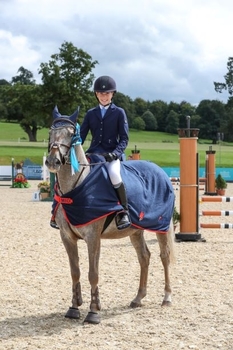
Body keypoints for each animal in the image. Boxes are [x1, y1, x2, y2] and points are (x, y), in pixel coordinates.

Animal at [46, 105, 175, 324]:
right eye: (50, 132)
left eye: (71, 134)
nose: (53, 161)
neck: (77, 187)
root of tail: (160, 171)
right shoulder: (67, 237)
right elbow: (75, 272)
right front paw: (74, 307)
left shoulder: (93, 237)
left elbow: (93, 273)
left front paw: (93, 311)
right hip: (135, 231)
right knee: (144, 257)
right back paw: (138, 298)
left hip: (161, 227)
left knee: (164, 256)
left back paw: (166, 297)